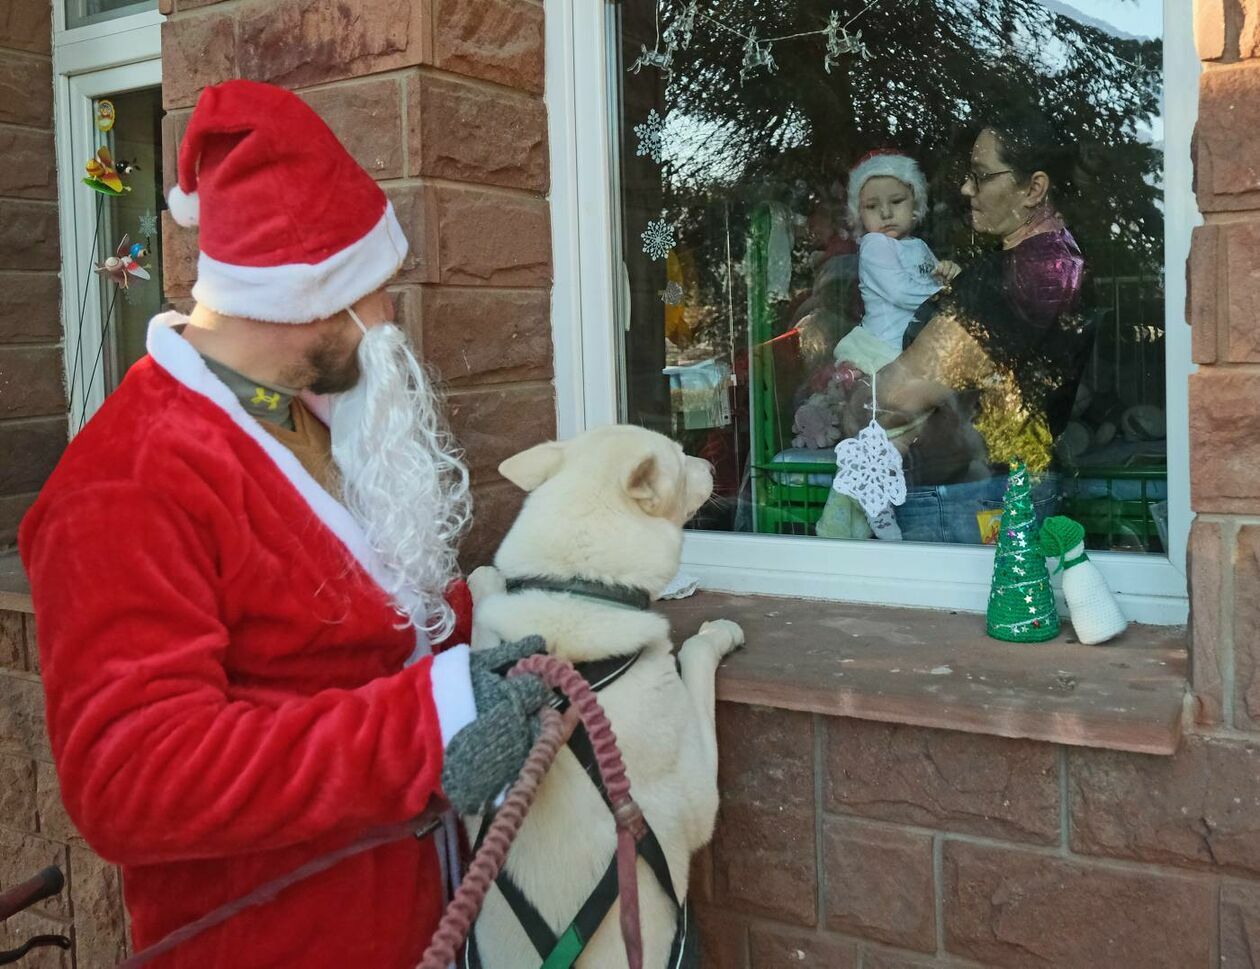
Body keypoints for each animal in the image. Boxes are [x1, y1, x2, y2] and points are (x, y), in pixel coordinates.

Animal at [461, 425, 735, 967]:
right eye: (680, 458)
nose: (714, 466)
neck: (577, 588)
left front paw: (483, 580)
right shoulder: (697, 794)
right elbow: (695, 655)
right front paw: (718, 634)